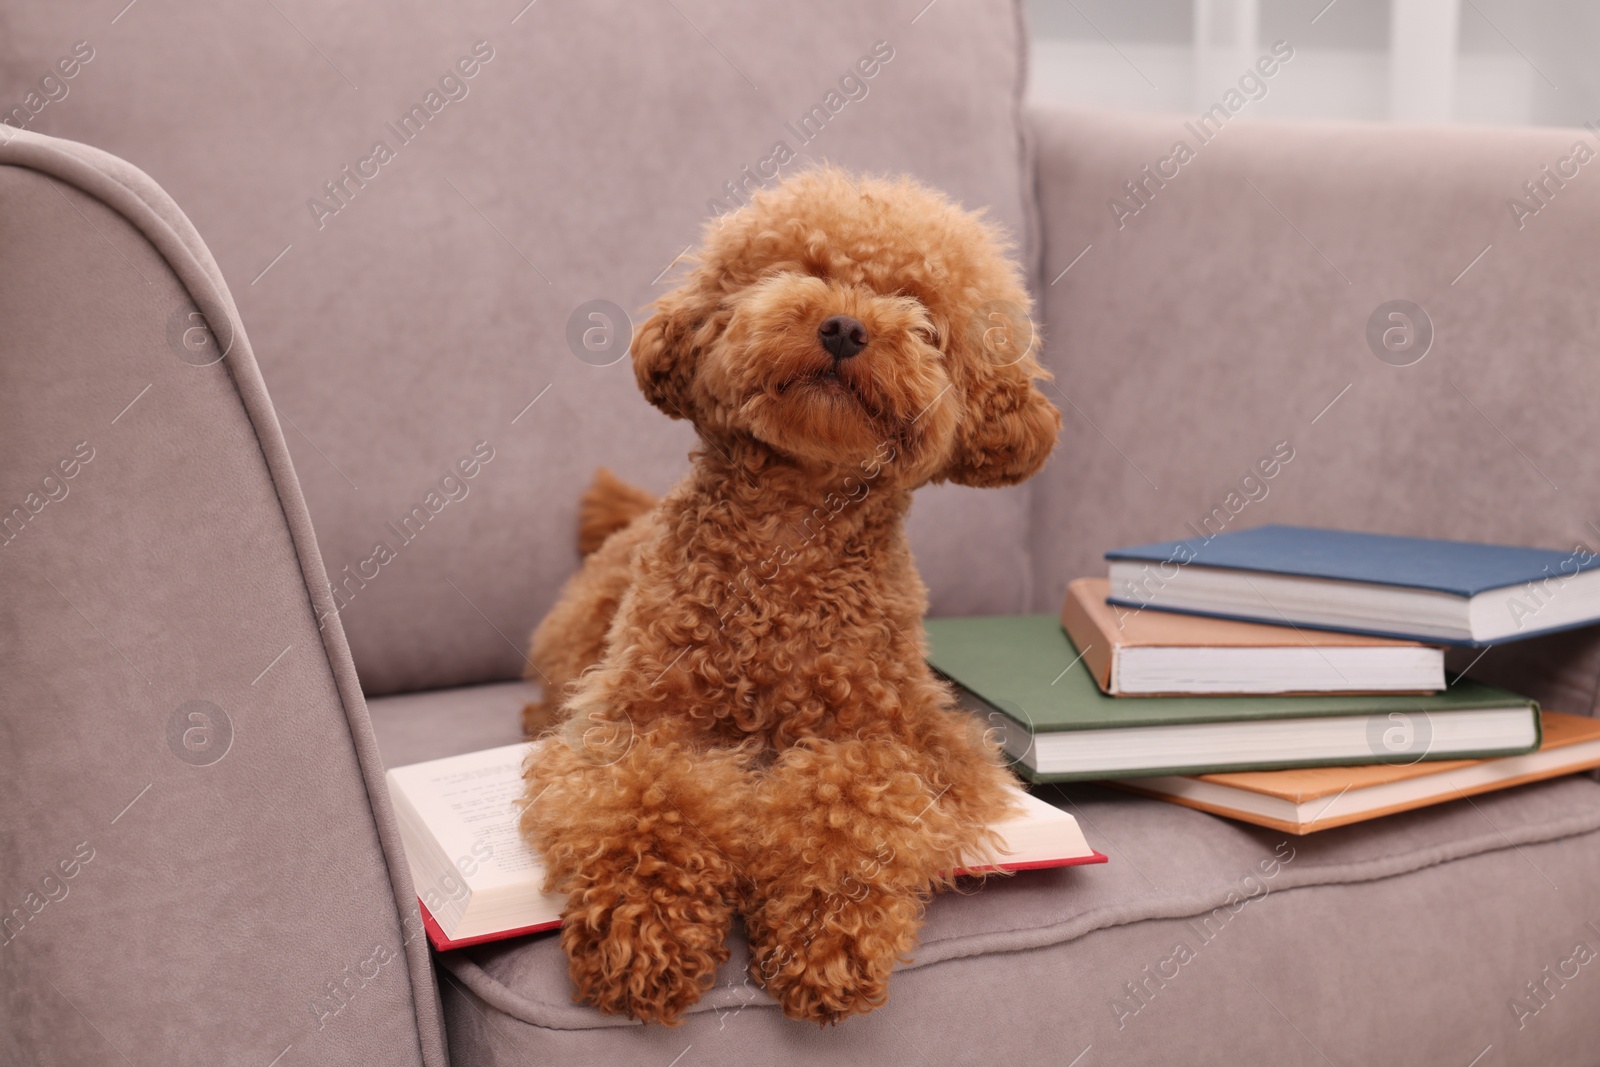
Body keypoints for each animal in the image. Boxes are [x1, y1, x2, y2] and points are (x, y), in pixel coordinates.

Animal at [518, 167, 1056, 1023]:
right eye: (800, 268)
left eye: (918, 309)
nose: (843, 327)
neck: (791, 533)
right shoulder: (635, 722)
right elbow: (649, 803)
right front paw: (646, 931)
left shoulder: (898, 739)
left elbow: (847, 804)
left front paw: (827, 938)